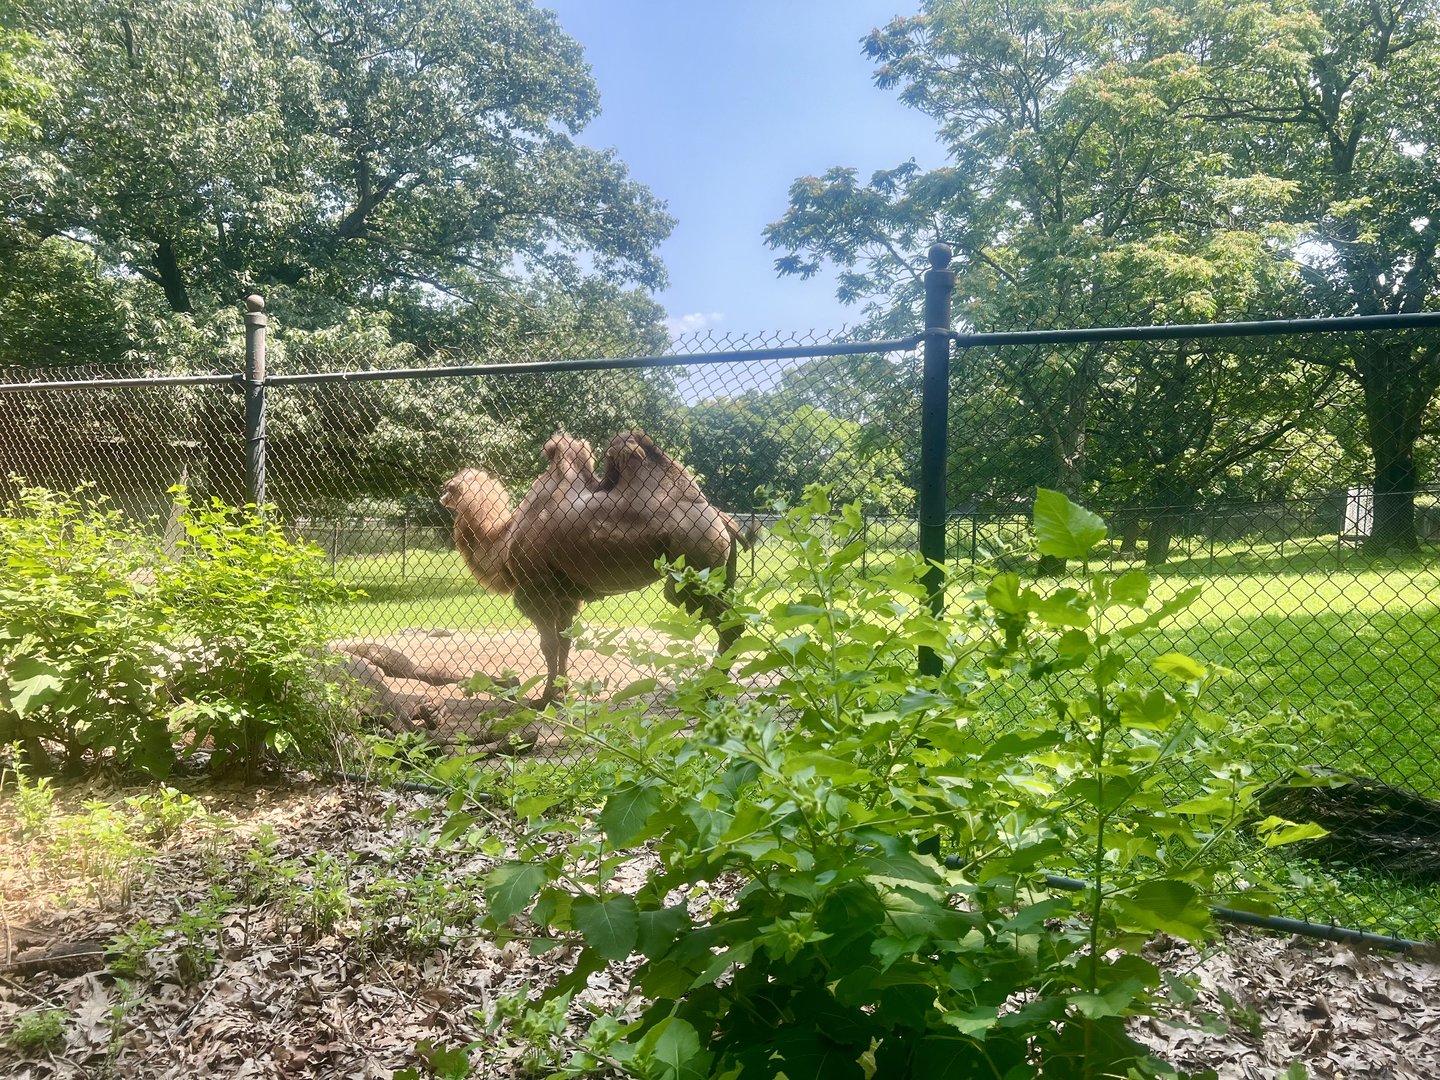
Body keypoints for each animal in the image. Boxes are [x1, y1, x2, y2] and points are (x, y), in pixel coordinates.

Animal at [440, 430, 743, 705]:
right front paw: (563, 693)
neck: (504, 540)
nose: (441, 494)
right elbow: (564, 642)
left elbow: (548, 645)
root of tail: (722, 520)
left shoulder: (536, 588)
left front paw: (546, 698)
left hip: (691, 566)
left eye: (451, 486)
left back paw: (708, 690)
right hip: (719, 572)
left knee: (726, 624)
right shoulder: (565, 594)